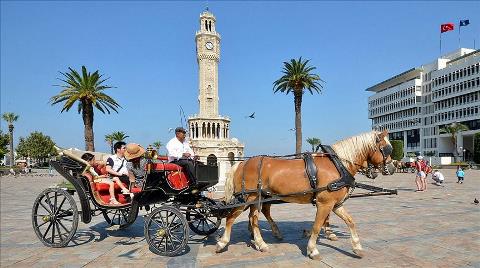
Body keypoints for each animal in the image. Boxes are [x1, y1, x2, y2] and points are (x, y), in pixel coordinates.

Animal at [216, 130, 396, 260]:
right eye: (386, 149)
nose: (393, 167)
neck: (338, 165)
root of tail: (242, 164)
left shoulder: (336, 204)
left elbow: (350, 222)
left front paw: (357, 247)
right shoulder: (324, 203)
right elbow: (317, 225)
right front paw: (312, 249)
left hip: (257, 199)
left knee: (254, 219)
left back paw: (261, 243)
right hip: (247, 199)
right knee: (231, 218)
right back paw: (222, 243)